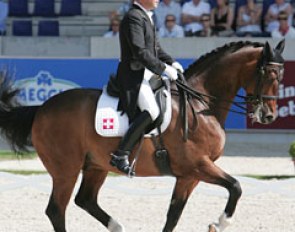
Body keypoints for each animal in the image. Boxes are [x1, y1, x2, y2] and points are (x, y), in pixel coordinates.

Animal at [0, 40, 286, 232]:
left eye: (281, 76)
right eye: (268, 74)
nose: (269, 116)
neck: (200, 104)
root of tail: (41, 108)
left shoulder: (189, 175)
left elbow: (174, 214)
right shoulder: (198, 165)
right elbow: (236, 186)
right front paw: (219, 223)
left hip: (96, 165)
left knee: (85, 199)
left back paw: (118, 227)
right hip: (65, 170)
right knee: (56, 210)